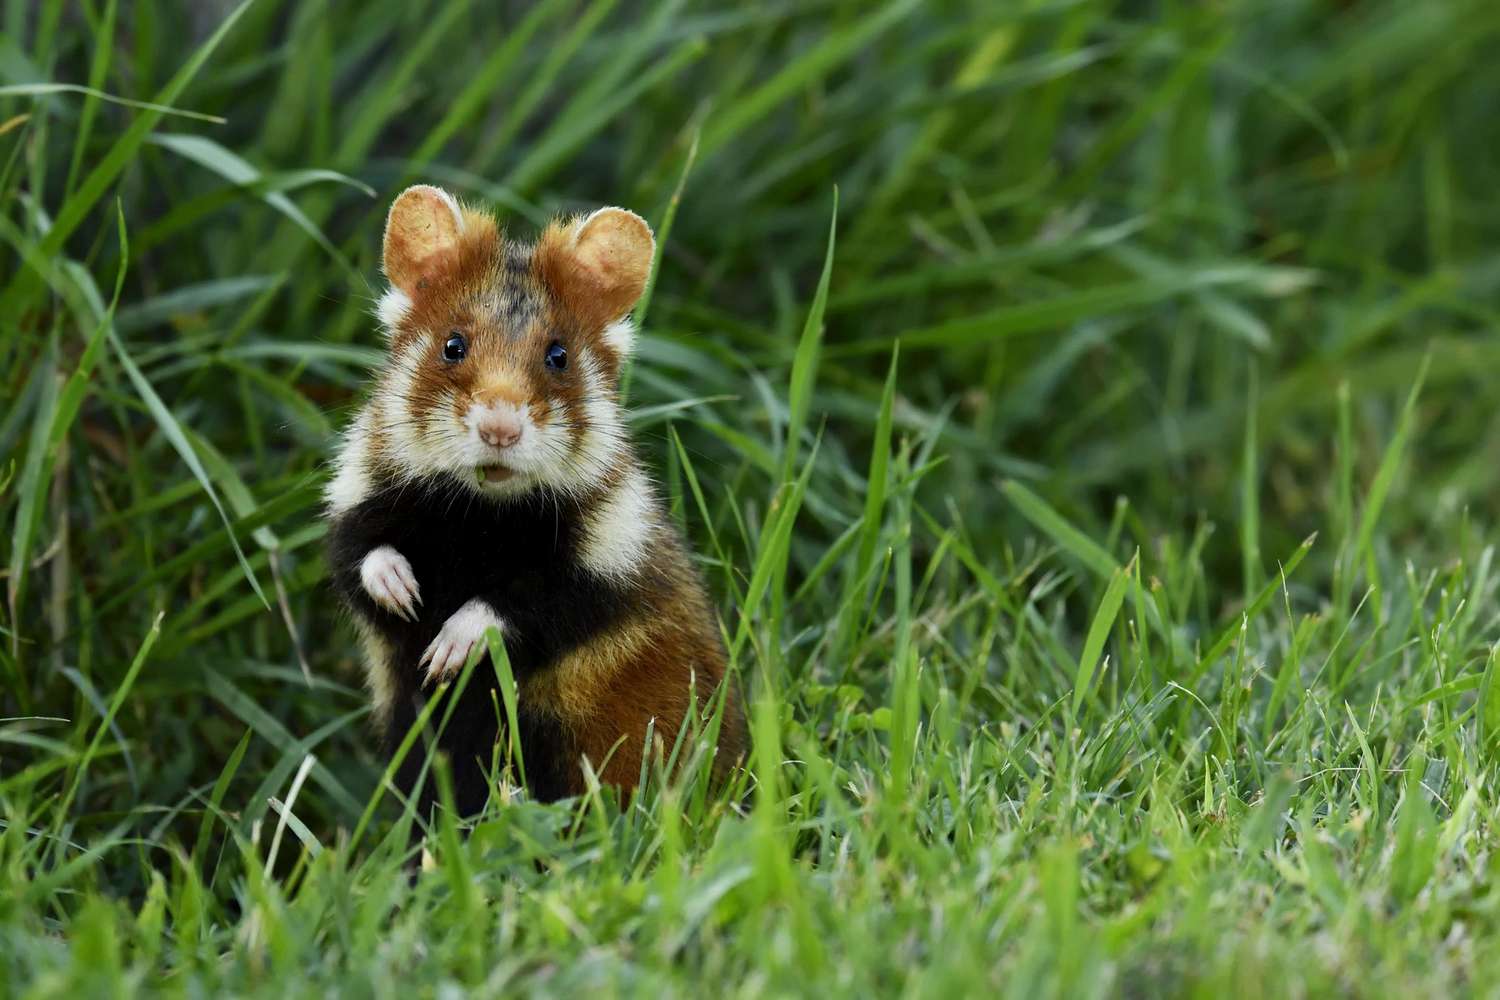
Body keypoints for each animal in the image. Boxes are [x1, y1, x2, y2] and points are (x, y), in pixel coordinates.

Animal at [330, 183, 750, 815]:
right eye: (453, 345)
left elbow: (516, 604)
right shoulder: (357, 503)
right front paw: (405, 596)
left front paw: (444, 651)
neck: (479, 514)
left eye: (558, 355)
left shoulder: (598, 569)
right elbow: (362, 554)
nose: (500, 430)